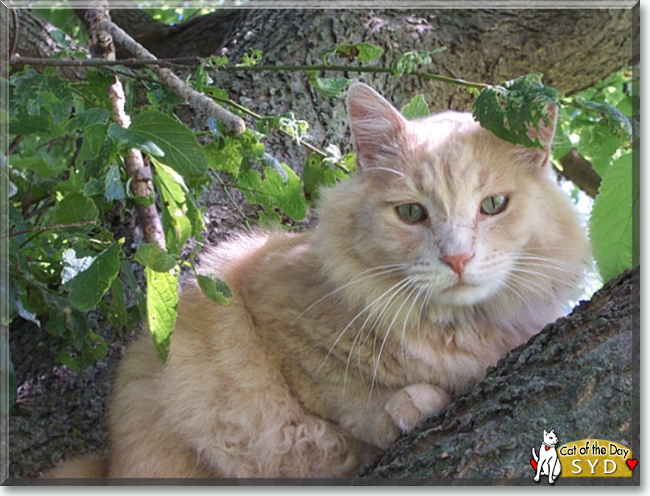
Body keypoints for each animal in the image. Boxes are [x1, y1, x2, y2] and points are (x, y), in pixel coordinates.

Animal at [45, 83, 588, 478]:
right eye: (412, 213)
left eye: (494, 205)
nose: (457, 258)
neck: (457, 329)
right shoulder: (265, 315)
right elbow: (339, 397)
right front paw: (405, 407)